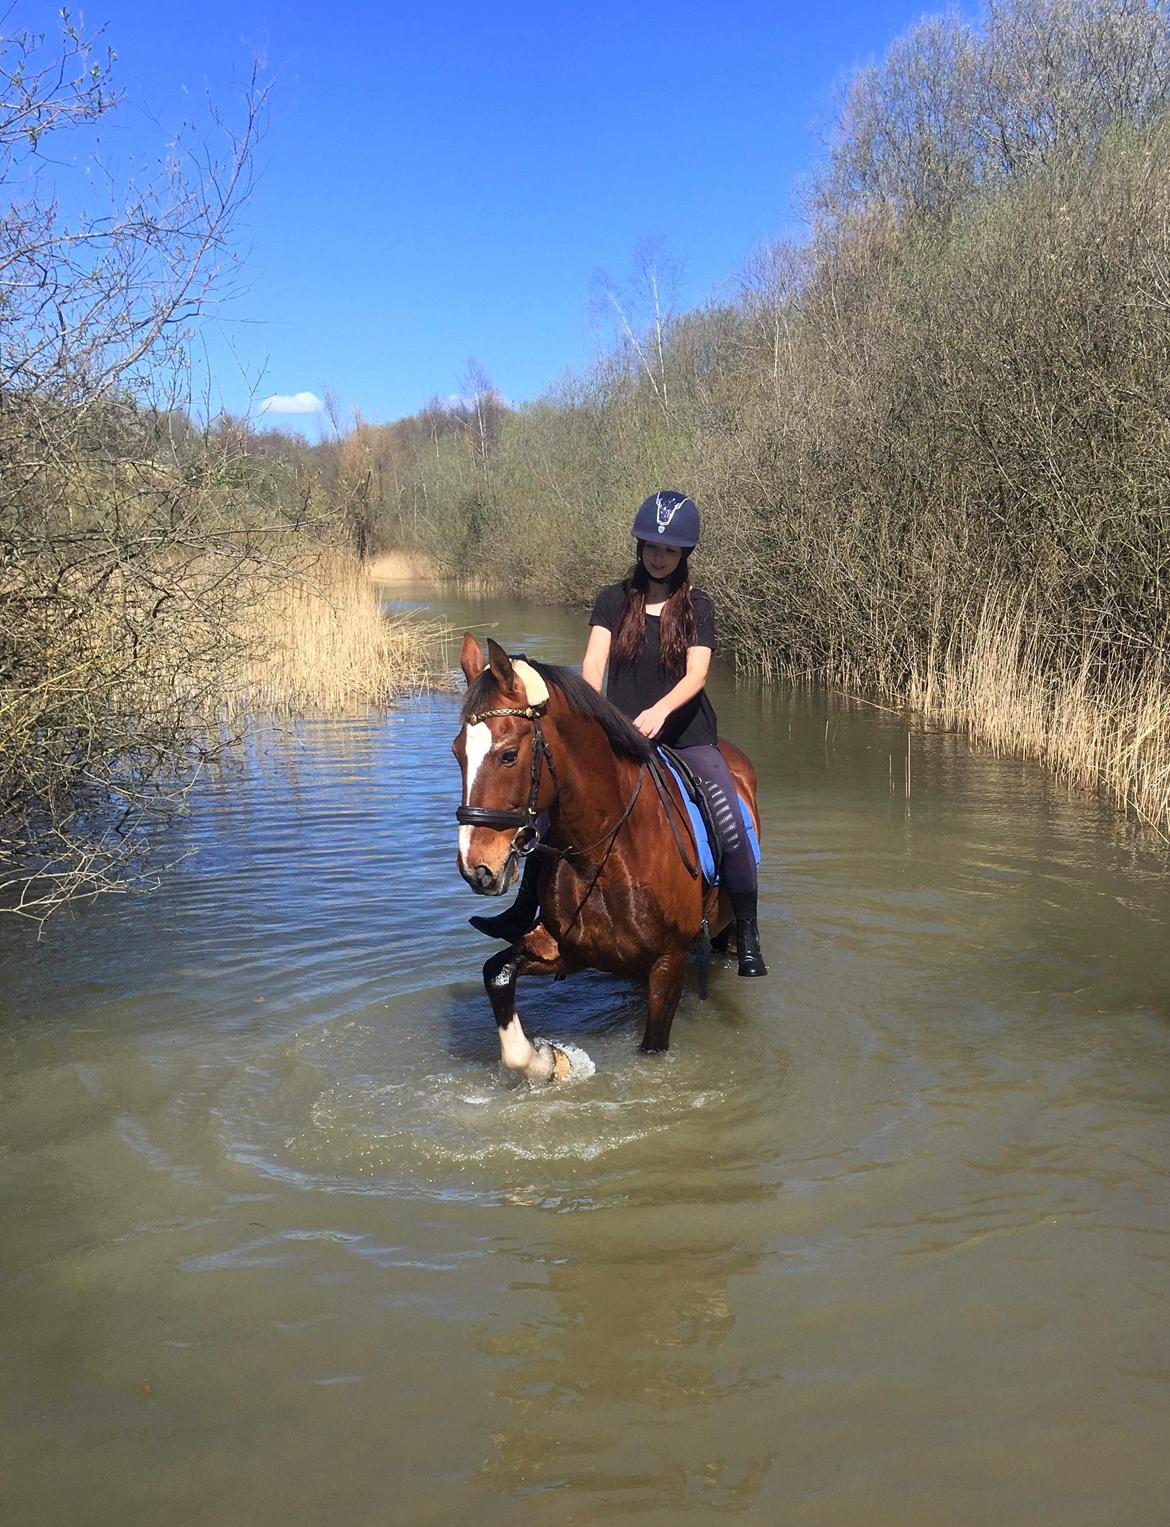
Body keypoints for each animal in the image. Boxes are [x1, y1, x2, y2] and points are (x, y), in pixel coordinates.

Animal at [449, 632, 760, 1087]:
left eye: (508, 755)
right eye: (457, 752)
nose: (476, 867)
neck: (602, 855)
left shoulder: (668, 964)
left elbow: (653, 1049)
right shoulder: (566, 948)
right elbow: (497, 974)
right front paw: (549, 1062)